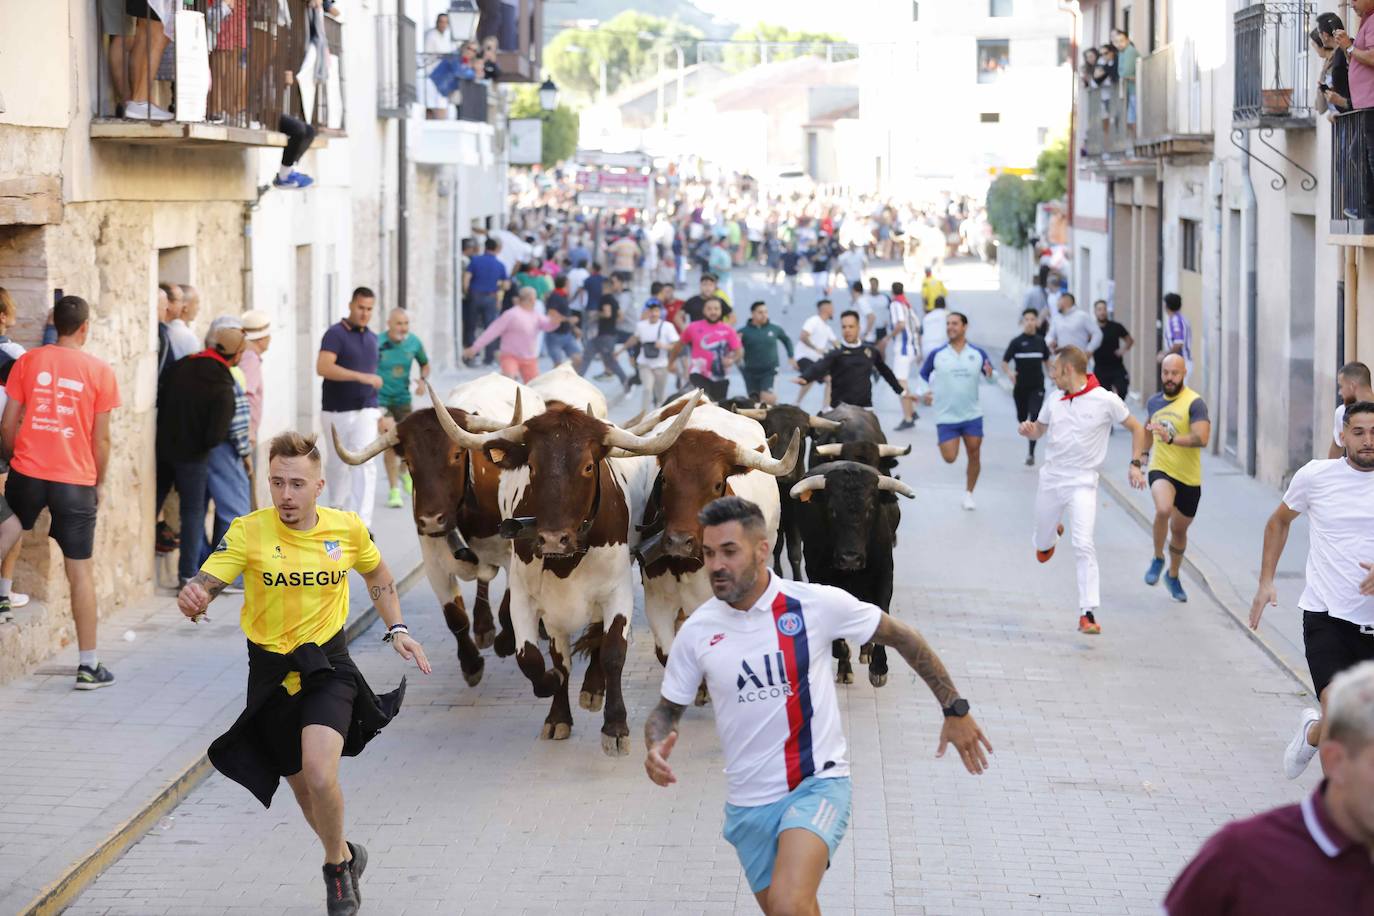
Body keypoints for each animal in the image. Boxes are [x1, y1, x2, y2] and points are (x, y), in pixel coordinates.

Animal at [434, 395, 703, 758]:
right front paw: (555, 704)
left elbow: (613, 651)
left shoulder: (617, 593)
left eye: (588, 467)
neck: (566, 561)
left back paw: (593, 688)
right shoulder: (528, 599)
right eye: (532, 466)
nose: (552, 539)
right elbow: (536, 659)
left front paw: (615, 727)